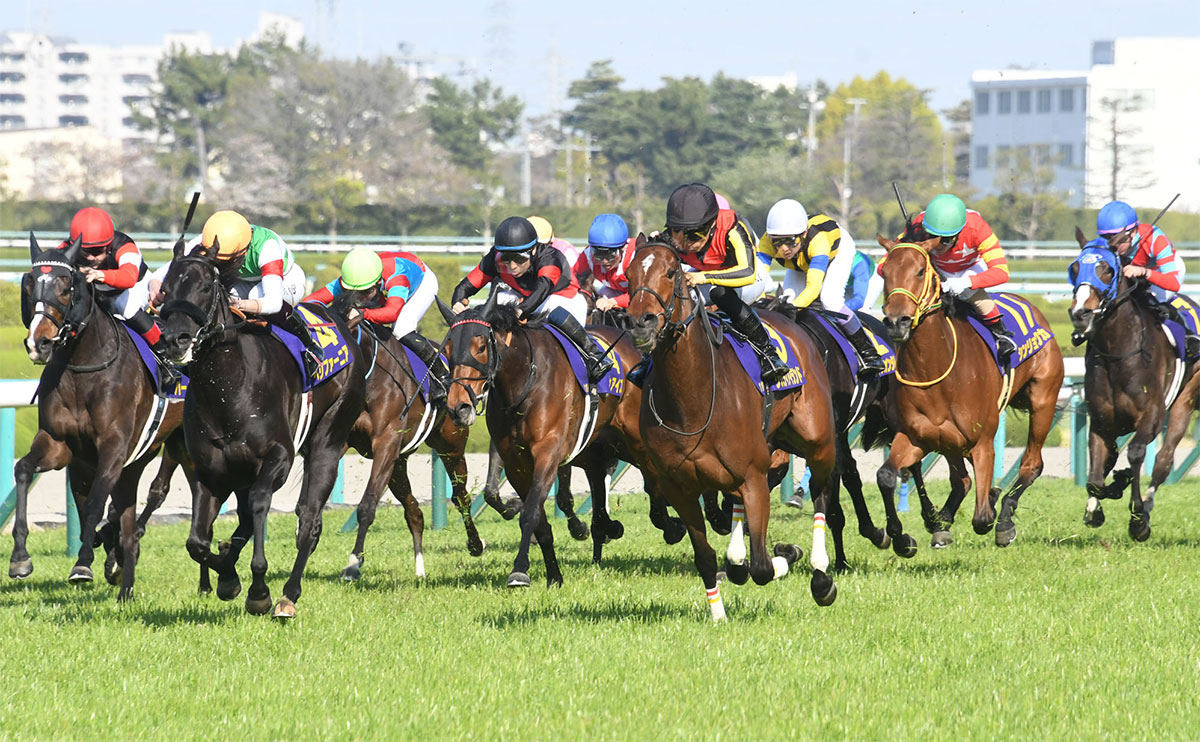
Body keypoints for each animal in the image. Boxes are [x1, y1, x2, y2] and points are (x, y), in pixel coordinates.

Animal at [159, 240, 364, 614]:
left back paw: (288, 595)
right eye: (165, 289)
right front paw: (227, 576)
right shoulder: (211, 470)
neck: (229, 387)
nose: (175, 339)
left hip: (329, 441)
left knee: (308, 520)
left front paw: (258, 590)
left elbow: (258, 505)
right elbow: (197, 541)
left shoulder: (278, 457)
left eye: (205, 286)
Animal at [628, 236, 835, 619]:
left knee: (821, 493)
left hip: (818, 441)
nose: (640, 322)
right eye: (628, 274)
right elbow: (706, 558)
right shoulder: (679, 487)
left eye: (671, 272)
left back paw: (820, 573)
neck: (691, 403)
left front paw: (787, 555)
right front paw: (718, 616)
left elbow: (763, 567)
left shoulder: (753, 475)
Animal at [878, 235, 1065, 549]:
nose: (896, 322)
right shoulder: (917, 436)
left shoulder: (982, 442)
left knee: (1031, 464)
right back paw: (944, 521)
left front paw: (993, 512)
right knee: (962, 480)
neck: (934, 370)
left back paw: (1004, 519)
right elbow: (886, 476)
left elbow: (982, 518)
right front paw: (902, 537)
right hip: (949, 440)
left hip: (1043, 400)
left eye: (920, 271)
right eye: (884, 272)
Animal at [1070, 226, 1200, 537]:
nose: (1080, 314)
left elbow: (1137, 453)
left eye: (1106, 269)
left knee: (1164, 461)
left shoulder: (1151, 415)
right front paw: (1096, 508)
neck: (1117, 352)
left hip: (1185, 400)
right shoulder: (1101, 419)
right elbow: (1096, 474)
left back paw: (1146, 508)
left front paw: (1137, 514)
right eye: (1075, 268)